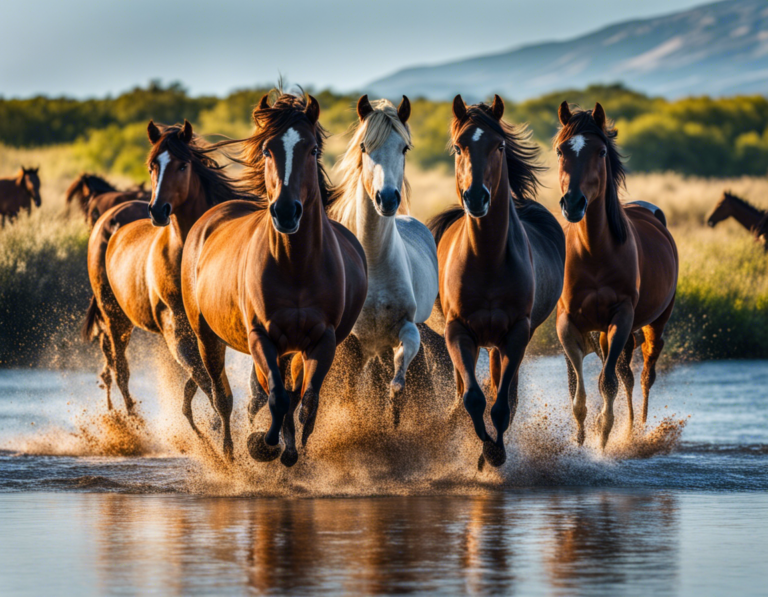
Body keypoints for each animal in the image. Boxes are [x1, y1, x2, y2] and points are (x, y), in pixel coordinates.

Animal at [80, 118, 246, 428]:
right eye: (151, 166)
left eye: (183, 165)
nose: (158, 210)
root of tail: (109, 220)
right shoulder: (177, 326)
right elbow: (203, 378)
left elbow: (200, 378)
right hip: (115, 317)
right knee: (120, 370)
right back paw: (132, 423)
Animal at [183, 93, 368, 466]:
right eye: (268, 150)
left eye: (312, 149)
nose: (285, 211)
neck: (295, 266)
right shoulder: (261, 336)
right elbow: (277, 397)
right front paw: (264, 444)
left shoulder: (322, 340)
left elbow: (306, 402)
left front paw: (295, 451)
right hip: (206, 336)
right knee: (222, 395)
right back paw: (229, 454)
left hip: (290, 348)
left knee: (289, 394)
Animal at [326, 95, 438, 426]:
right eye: (364, 146)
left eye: (404, 148)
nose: (386, 198)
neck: (374, 264)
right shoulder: (352, 343)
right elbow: (351, 395)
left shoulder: (407, 329)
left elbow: (398, 382)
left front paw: (395, 417)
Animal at [426, 96, 564, 470]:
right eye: (458, 147)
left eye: (499, 146)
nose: (476, 197)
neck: (487, 258)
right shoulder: (458, 331)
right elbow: (472, 398)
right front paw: (482, 448)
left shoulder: (516, 333)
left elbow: (501, 405)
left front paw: (494, 453)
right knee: (466, 391)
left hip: (504, 343)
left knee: (505, 392)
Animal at [552, 102, 680, 448]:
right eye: (560, 150)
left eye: (600, 152)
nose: (573, 203)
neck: (594, 251)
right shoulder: (568, 321)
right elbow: (578, 386)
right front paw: (582, 435)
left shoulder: (621, 317)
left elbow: (607, 382)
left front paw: (605, 433)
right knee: (626, 375)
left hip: (655, 322)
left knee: (644, 374)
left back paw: (638, 429)